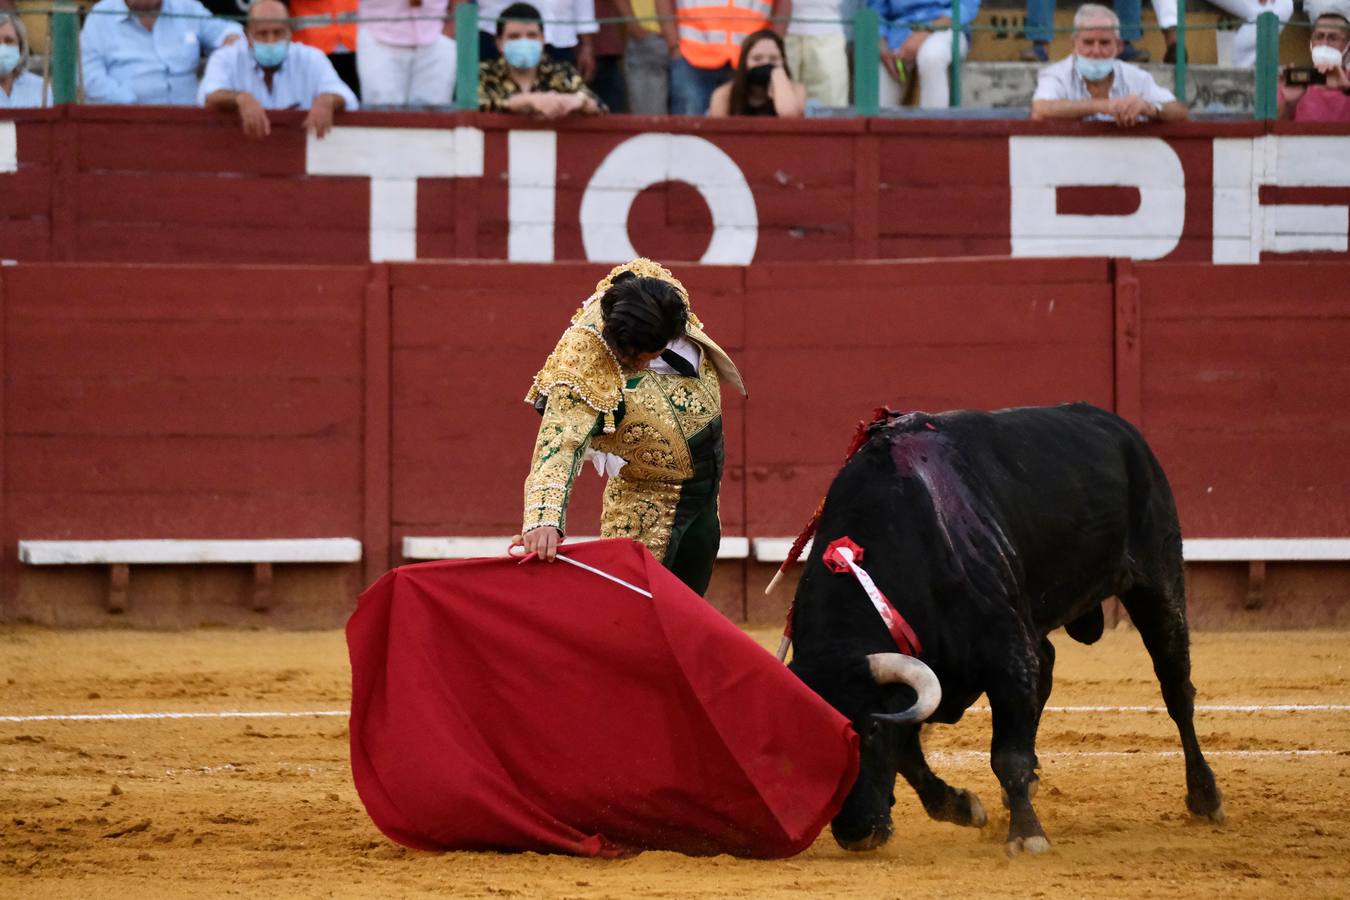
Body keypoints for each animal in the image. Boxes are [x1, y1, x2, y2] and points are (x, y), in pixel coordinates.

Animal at [788, 404, 1231, 858]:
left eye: (871, 730)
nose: (856, 834)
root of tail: (1118, 425)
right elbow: (912, 757)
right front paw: (962, 806)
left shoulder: (1006, 654)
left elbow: (1005, 754)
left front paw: (1027, 834)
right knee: (1049, 665)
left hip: (1157, 579)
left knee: (1177, 689)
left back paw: (1205, 797)